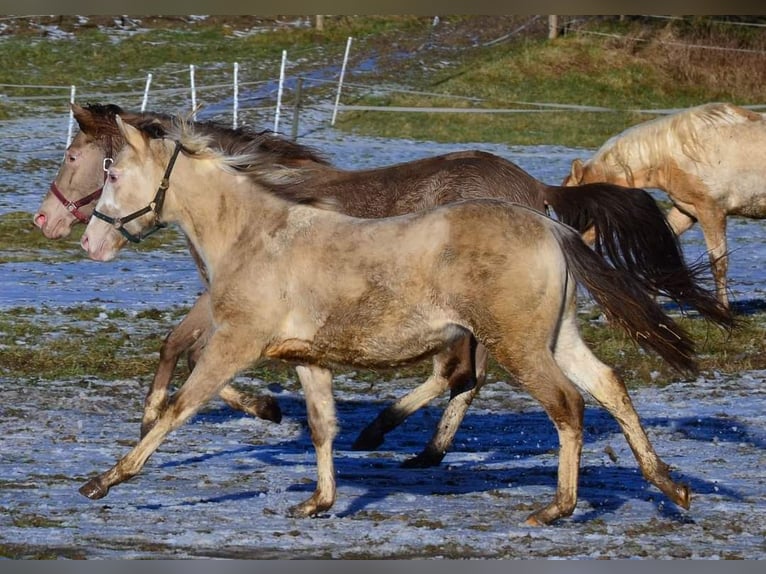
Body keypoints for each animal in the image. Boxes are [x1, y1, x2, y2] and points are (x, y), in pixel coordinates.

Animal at [76, 116, 696, 528]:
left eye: (112, 174)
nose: (89, 242)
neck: (256, 235)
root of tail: (551, 225)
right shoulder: (307, 357)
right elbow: (322, 427)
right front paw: (318, 502)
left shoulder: (235, 343)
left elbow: (179, 407)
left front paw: (104, 480)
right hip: (555, 338)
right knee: (609, 384)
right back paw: (670, 485)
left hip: (517, 345)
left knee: (564, 403)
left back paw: (555, 507)